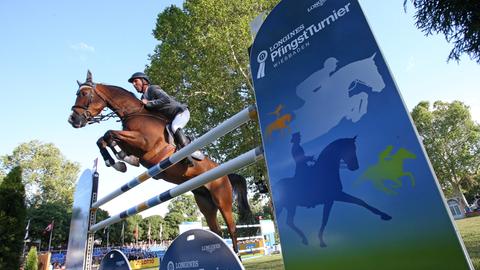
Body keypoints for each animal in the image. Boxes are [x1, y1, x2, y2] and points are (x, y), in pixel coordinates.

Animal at [70, 70, 255, 253]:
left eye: (84, 94)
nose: (73, 120)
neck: (134, 112)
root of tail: (225, 174)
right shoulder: (132, 145)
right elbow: (103, 140)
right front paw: (119, 161)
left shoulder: (144, 142)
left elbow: (109, 134)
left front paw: (120, 161)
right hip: (205, 203)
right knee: (216, 231)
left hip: (222, 199)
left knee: (232, 229)